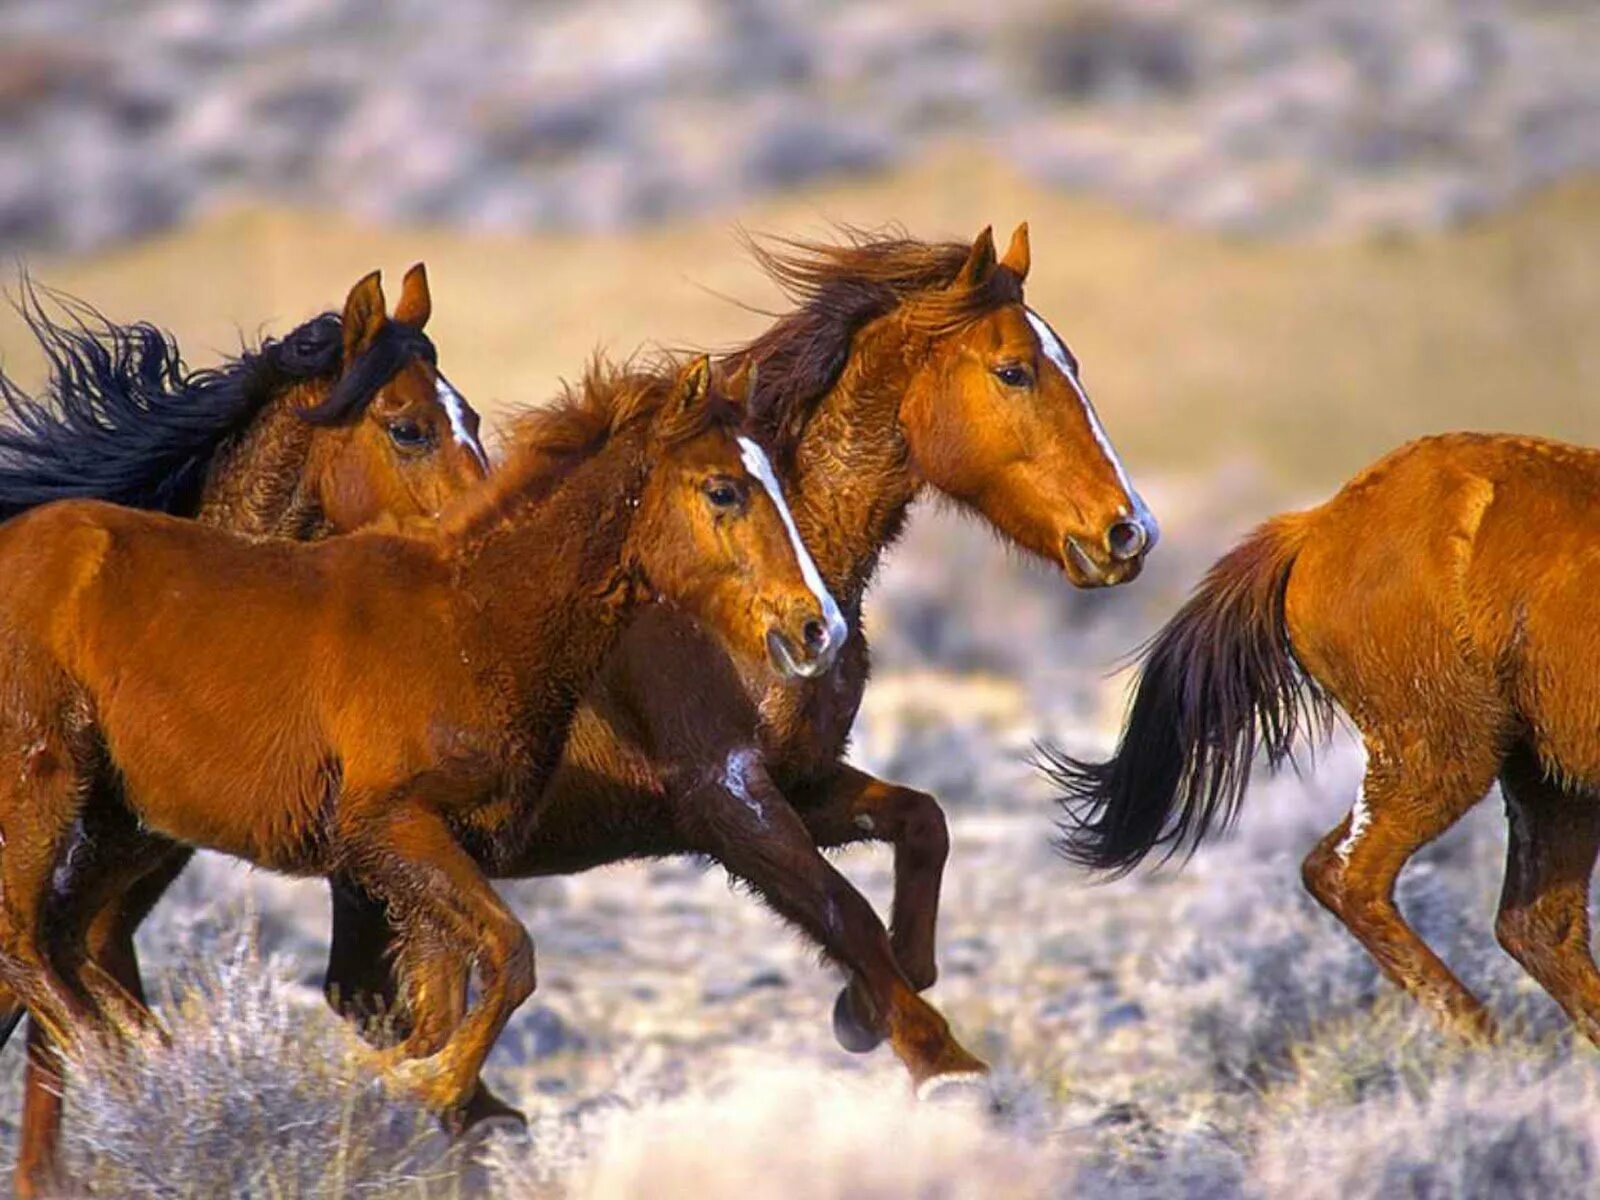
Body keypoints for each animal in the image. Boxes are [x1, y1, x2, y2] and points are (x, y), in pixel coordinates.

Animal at [0, 356, 851, 1139]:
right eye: (724, 490)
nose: (820, 628)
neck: (470, 624)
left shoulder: (440, 855)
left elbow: (444, 1002)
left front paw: (391, 1079)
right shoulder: (390, 830)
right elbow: (510, 956)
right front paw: (422, 1085)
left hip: (124, 823)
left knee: (66, 940)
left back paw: (163, 1063)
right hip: (44, 786)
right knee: (25, 943)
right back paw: (138, 1076)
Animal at [312, 219, 1158, 1100]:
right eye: (1014, 370)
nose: (1128, 531)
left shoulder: (800, 779)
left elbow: (922, 824)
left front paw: (867, 1006)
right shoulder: (723, 795)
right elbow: (844, 912)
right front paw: (941, 1065)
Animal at [1049, 435, 1600, 1049]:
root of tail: (1318, 524)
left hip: (1544, 777)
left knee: (1538, 925)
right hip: (1443, 755)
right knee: (1349, 875)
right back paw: (1482, 1036)